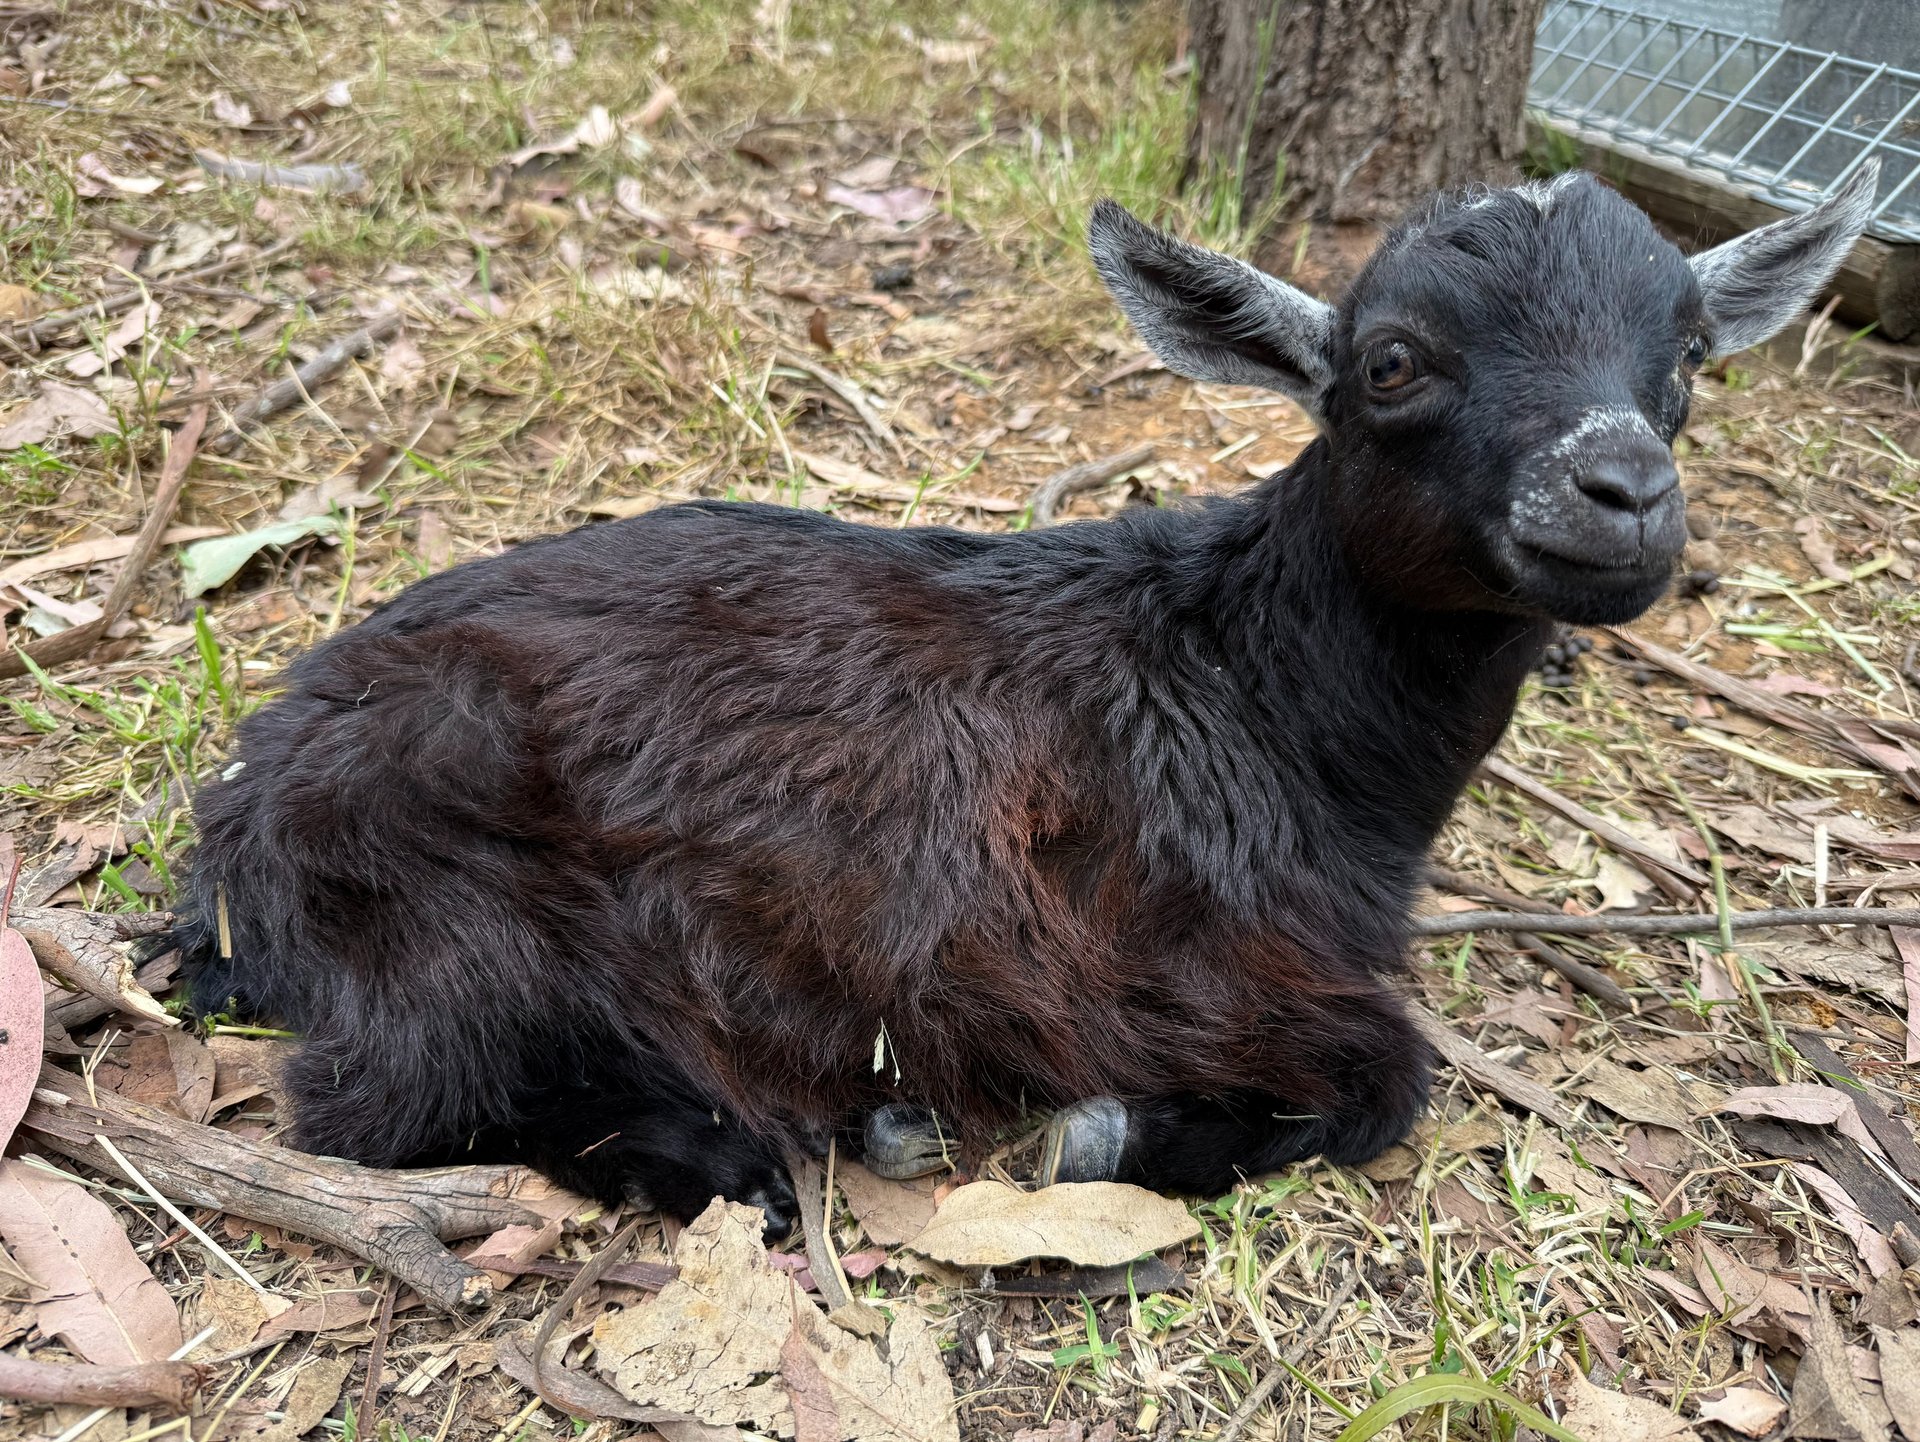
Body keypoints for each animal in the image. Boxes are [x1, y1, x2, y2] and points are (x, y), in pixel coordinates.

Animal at [174, 164, 1878, 1234]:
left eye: (1691, 358)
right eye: (1395, 362)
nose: (1623, 491)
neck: (1252, 688)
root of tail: (235, 818)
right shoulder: (1152, 958)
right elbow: (1391, 1077)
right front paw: (1109, 1132)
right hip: (445, 905)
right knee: (385, 1096)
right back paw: (756, 1148)